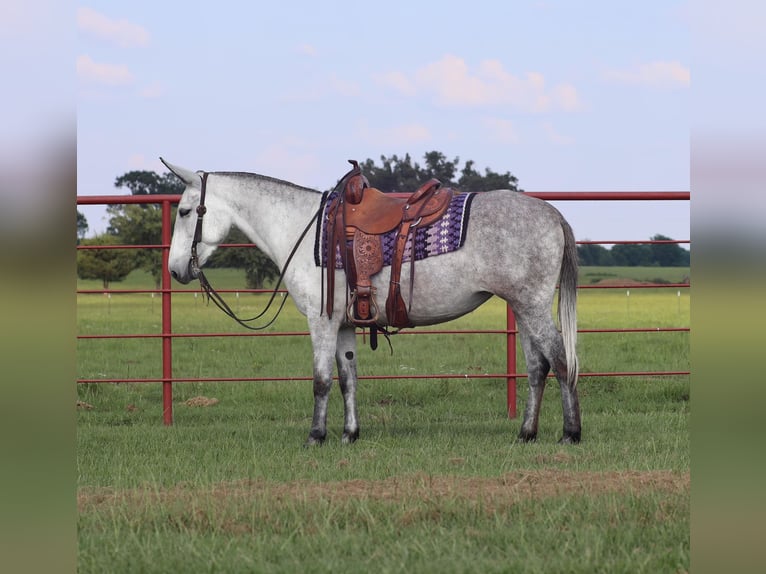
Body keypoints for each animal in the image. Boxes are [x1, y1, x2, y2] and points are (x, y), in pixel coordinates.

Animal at [164, 160, 584, 448]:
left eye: (184, 211)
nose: (175, 269)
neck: (303, 228)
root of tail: (552, 213)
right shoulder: (346, 324)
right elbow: (348, 378)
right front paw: (349, 433)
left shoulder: (321, 321)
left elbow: (321, 380)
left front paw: (316, 436)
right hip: (522, 308)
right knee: (537, 368)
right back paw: (526, 432)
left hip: (531, 306)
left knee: (561, 361)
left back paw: (570, 432)